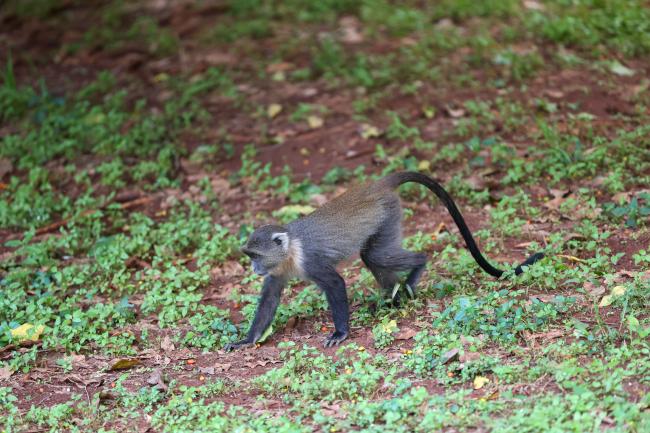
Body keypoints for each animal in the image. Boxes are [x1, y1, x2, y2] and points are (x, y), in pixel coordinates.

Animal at [224, 171, 544, 351]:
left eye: (256, 256)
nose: (253, 268)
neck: (290, 251)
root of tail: (377, 186)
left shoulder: (311, 260)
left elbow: (335, 283)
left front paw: (340, 333)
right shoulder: (277, 271)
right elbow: (270, 298)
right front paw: (247, 341)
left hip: (388, 213)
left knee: (376, 255)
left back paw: (416, 269)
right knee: (374, 258)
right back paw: (392, 299)